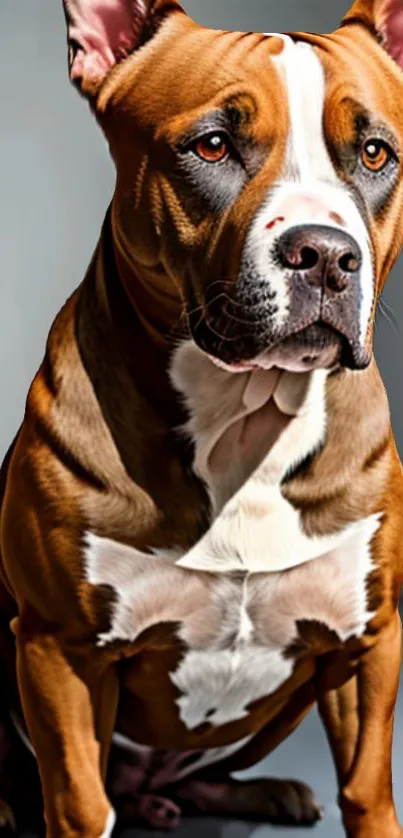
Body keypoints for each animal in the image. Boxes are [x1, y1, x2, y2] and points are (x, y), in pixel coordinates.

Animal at [0, 0, 403, 836]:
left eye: (374, 153)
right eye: (211, 145)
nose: (326, 255)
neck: (246, 421)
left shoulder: (368, 641)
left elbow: (367, 788)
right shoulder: (58, 648)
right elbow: (78, 801)